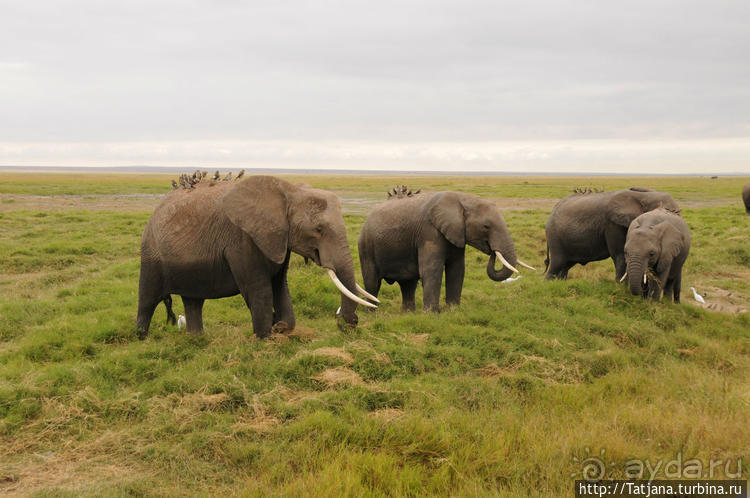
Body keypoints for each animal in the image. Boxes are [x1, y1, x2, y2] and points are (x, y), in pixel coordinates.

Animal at [136, 174, 376, 338]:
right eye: (318, 229)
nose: (346, 323)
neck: (288, 190)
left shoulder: (278, 238)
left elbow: (279, 283)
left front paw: (282, 328)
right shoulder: (241, 239)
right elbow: (257, 287)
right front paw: (265, 337)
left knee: (193, 300)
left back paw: (196, 338)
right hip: (151, 251)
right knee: (148, 298)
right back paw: (142, 337)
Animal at [358, 190, 536, 312]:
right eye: (486, 226)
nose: (492, 251)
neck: (463, 199)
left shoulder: (456, 234)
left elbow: (457, 270)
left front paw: (453, 310)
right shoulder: (429, 232)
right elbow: (432, 270)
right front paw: (431, 314)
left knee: (408, 284)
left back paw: (408, 314)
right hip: (365, 246)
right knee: (372, 282)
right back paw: (372, 313)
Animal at [544, 187, 684, 280]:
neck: (644, 197)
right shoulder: (612, 224)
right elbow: (620, 254)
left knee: (565, 266)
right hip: (554, 236)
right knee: (557, 264)